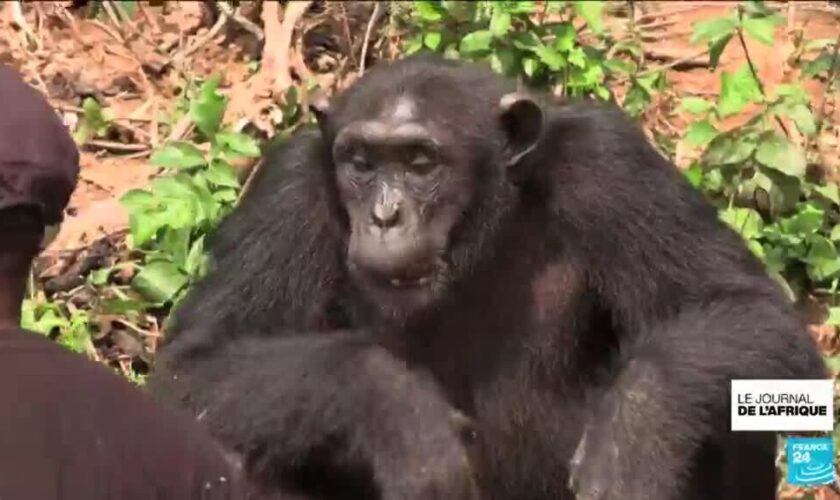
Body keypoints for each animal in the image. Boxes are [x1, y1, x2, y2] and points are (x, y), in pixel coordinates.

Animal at [149, 54, 828, 500]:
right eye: (360, 163)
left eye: (420, 162)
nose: (385, 215)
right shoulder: (290, 186)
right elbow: (197, 364)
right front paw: (398, 413)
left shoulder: (610, 164)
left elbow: (743, 307)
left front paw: (634, 439)